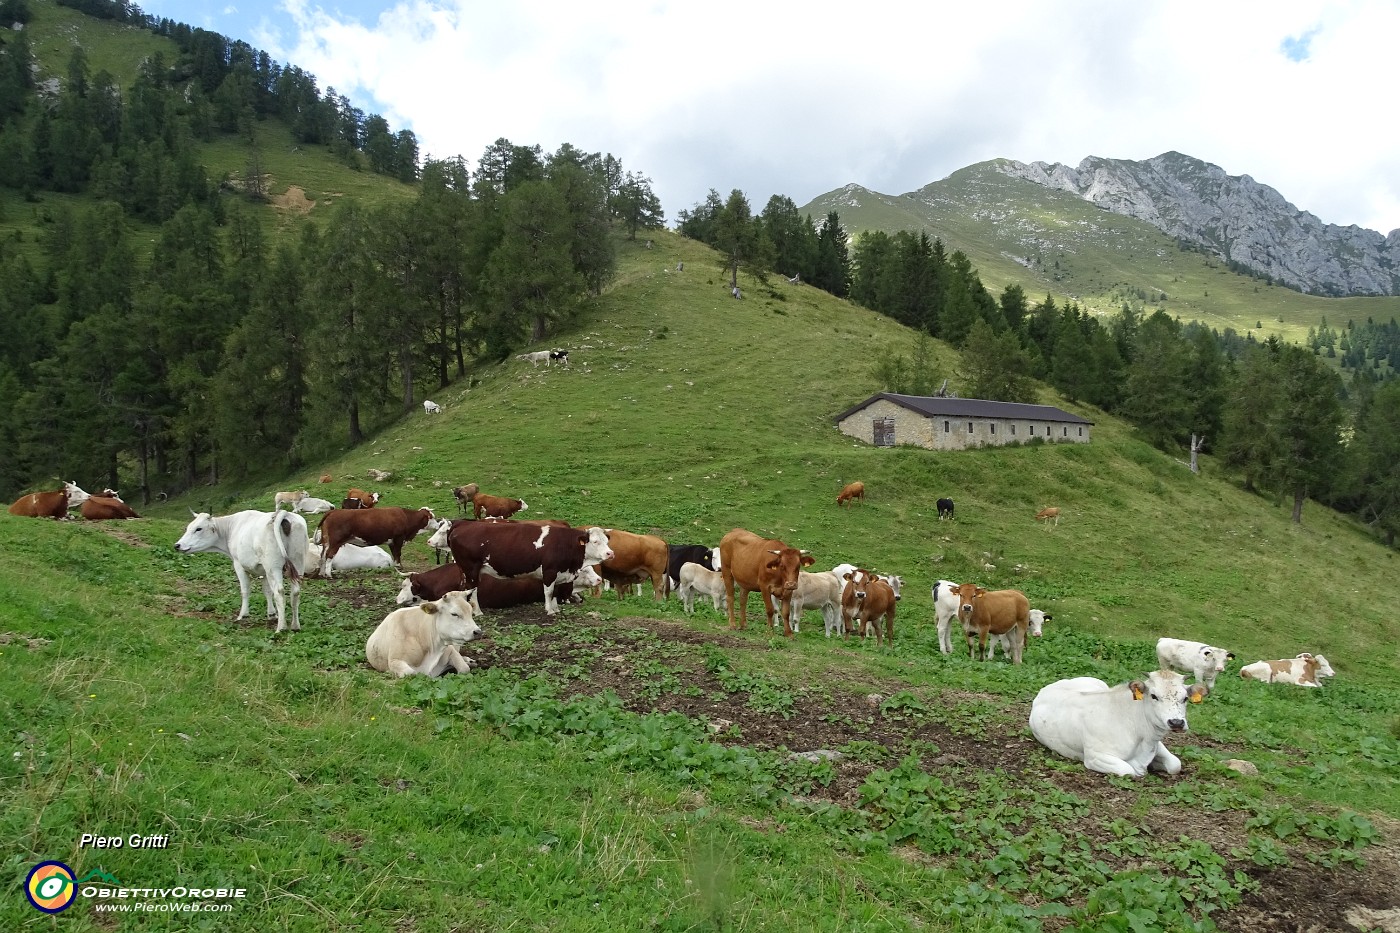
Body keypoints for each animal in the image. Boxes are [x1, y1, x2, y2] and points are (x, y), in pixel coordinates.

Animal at [174, 509, 309, 633]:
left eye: (198, 529)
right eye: (188, 528)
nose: (177, 545)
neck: (231, 528)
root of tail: (284, 513)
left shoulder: (238, 564)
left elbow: (245, 590)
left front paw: (243, 615)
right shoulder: (264, 570)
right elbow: (267, 591)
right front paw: (271, 614)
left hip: (273, 566)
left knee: (279, 592)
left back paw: (281, 628)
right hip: (297, 562)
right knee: (295, 592)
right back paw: (295, 626)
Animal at [448, 518, 613, 613]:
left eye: (606, 541)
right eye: (595, 541)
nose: (610, 553)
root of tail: (463, 523)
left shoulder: (559, 573)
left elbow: (555, 591)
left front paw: (556, 609)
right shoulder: (549, 570)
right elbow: (549, 592)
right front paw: (549, 610)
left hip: (465, 570)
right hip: (471, 569)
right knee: (472, 590)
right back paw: (477, 612)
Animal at [1024, 669, 1209, 778]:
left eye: (1185, 698)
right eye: (1154, 696)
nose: (1176, 722)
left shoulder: (1157, 745)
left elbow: (1175, 765)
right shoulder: (1095, 757)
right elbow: (1128, 770)